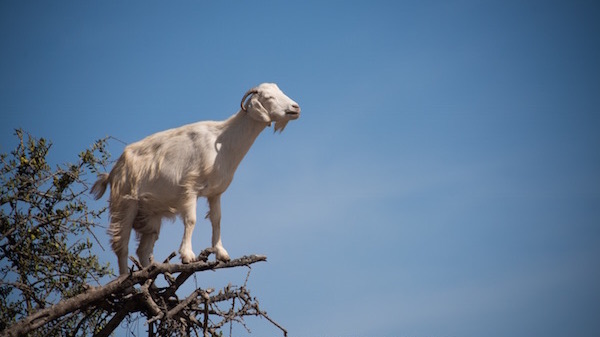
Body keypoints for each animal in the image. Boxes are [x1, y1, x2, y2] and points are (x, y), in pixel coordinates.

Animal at [90, 82, 300, 274]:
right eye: (269, 97)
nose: (295, 108)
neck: (223, 142)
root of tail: (113, 171)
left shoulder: (215, 193)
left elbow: (217, 219)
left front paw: (222, 253)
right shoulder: (189, 189)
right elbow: (191, 220)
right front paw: (187, 256)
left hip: (151, 214)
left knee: (143, 250)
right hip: (125, 204)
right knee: (121, 246)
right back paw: (127, 282)